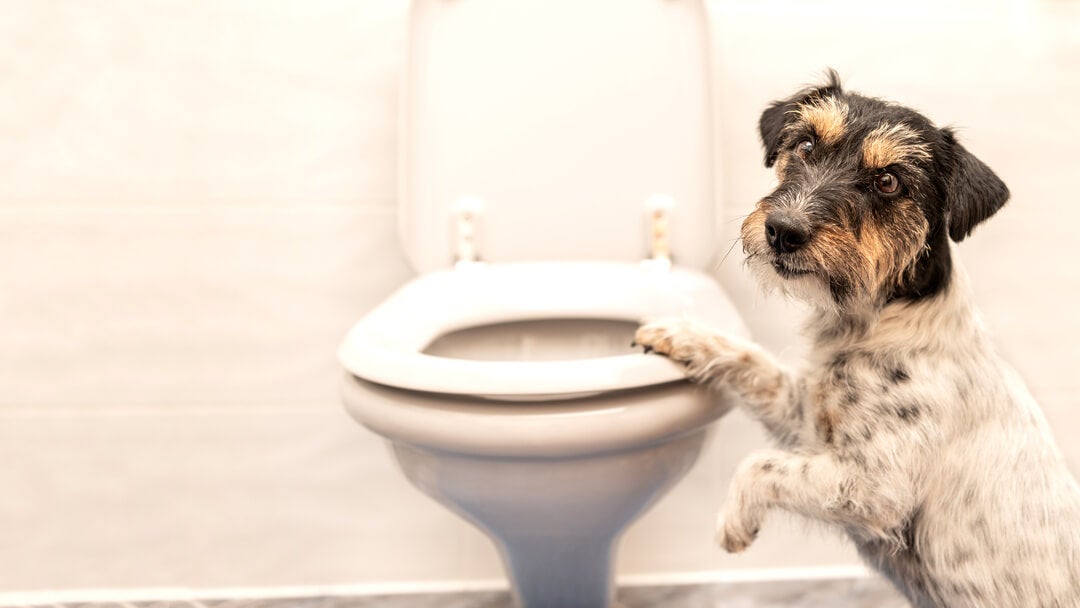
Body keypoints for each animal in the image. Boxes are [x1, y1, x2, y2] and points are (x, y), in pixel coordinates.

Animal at [630, 72, 1080, 608]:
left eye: (888, 181)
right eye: (805, 144)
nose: (782, 231)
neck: (879, 323)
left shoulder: (873, 486)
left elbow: (759, 465)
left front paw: (733, 520)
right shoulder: (804, 416)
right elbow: (752, 362)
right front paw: (679, 332)